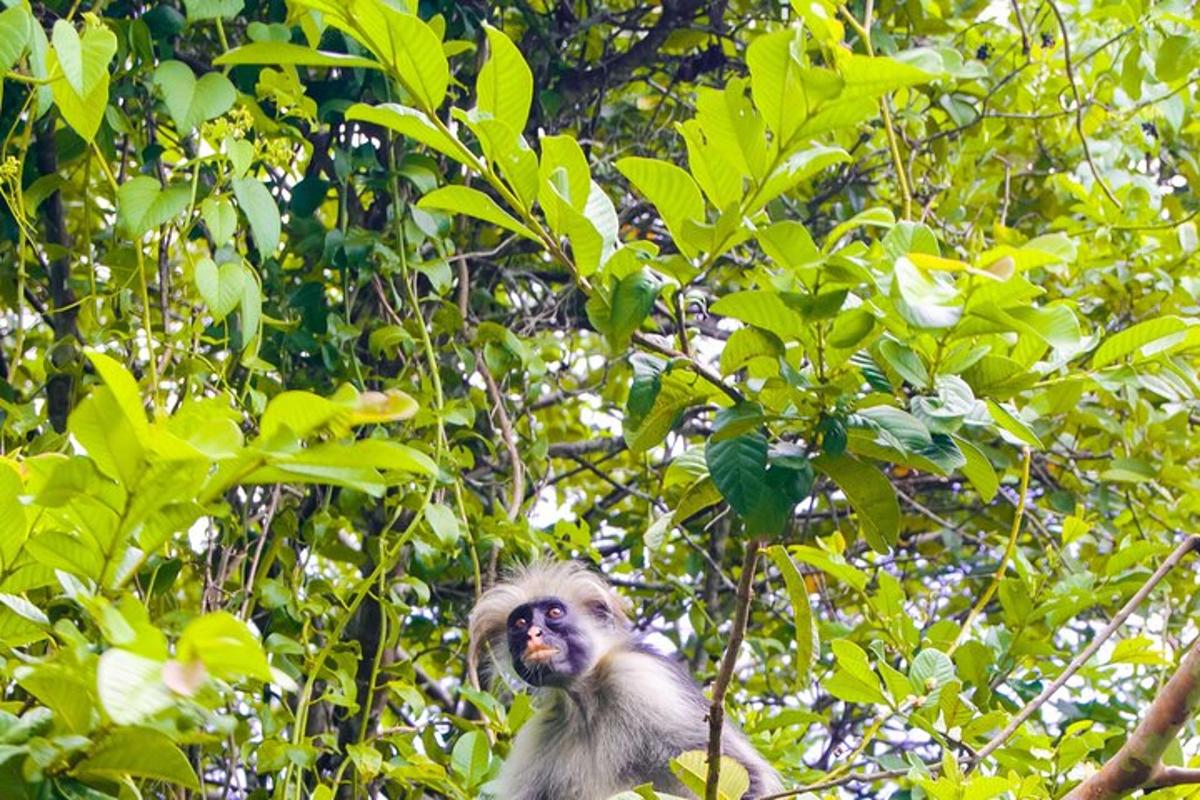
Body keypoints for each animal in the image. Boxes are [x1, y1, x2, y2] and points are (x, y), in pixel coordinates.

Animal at [463, 563, 782, 800]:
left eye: (554, 613)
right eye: (520, 623)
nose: (532, 634)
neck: (584, 703)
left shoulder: (637, 678)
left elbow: (751, 776)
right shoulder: (541, 731)